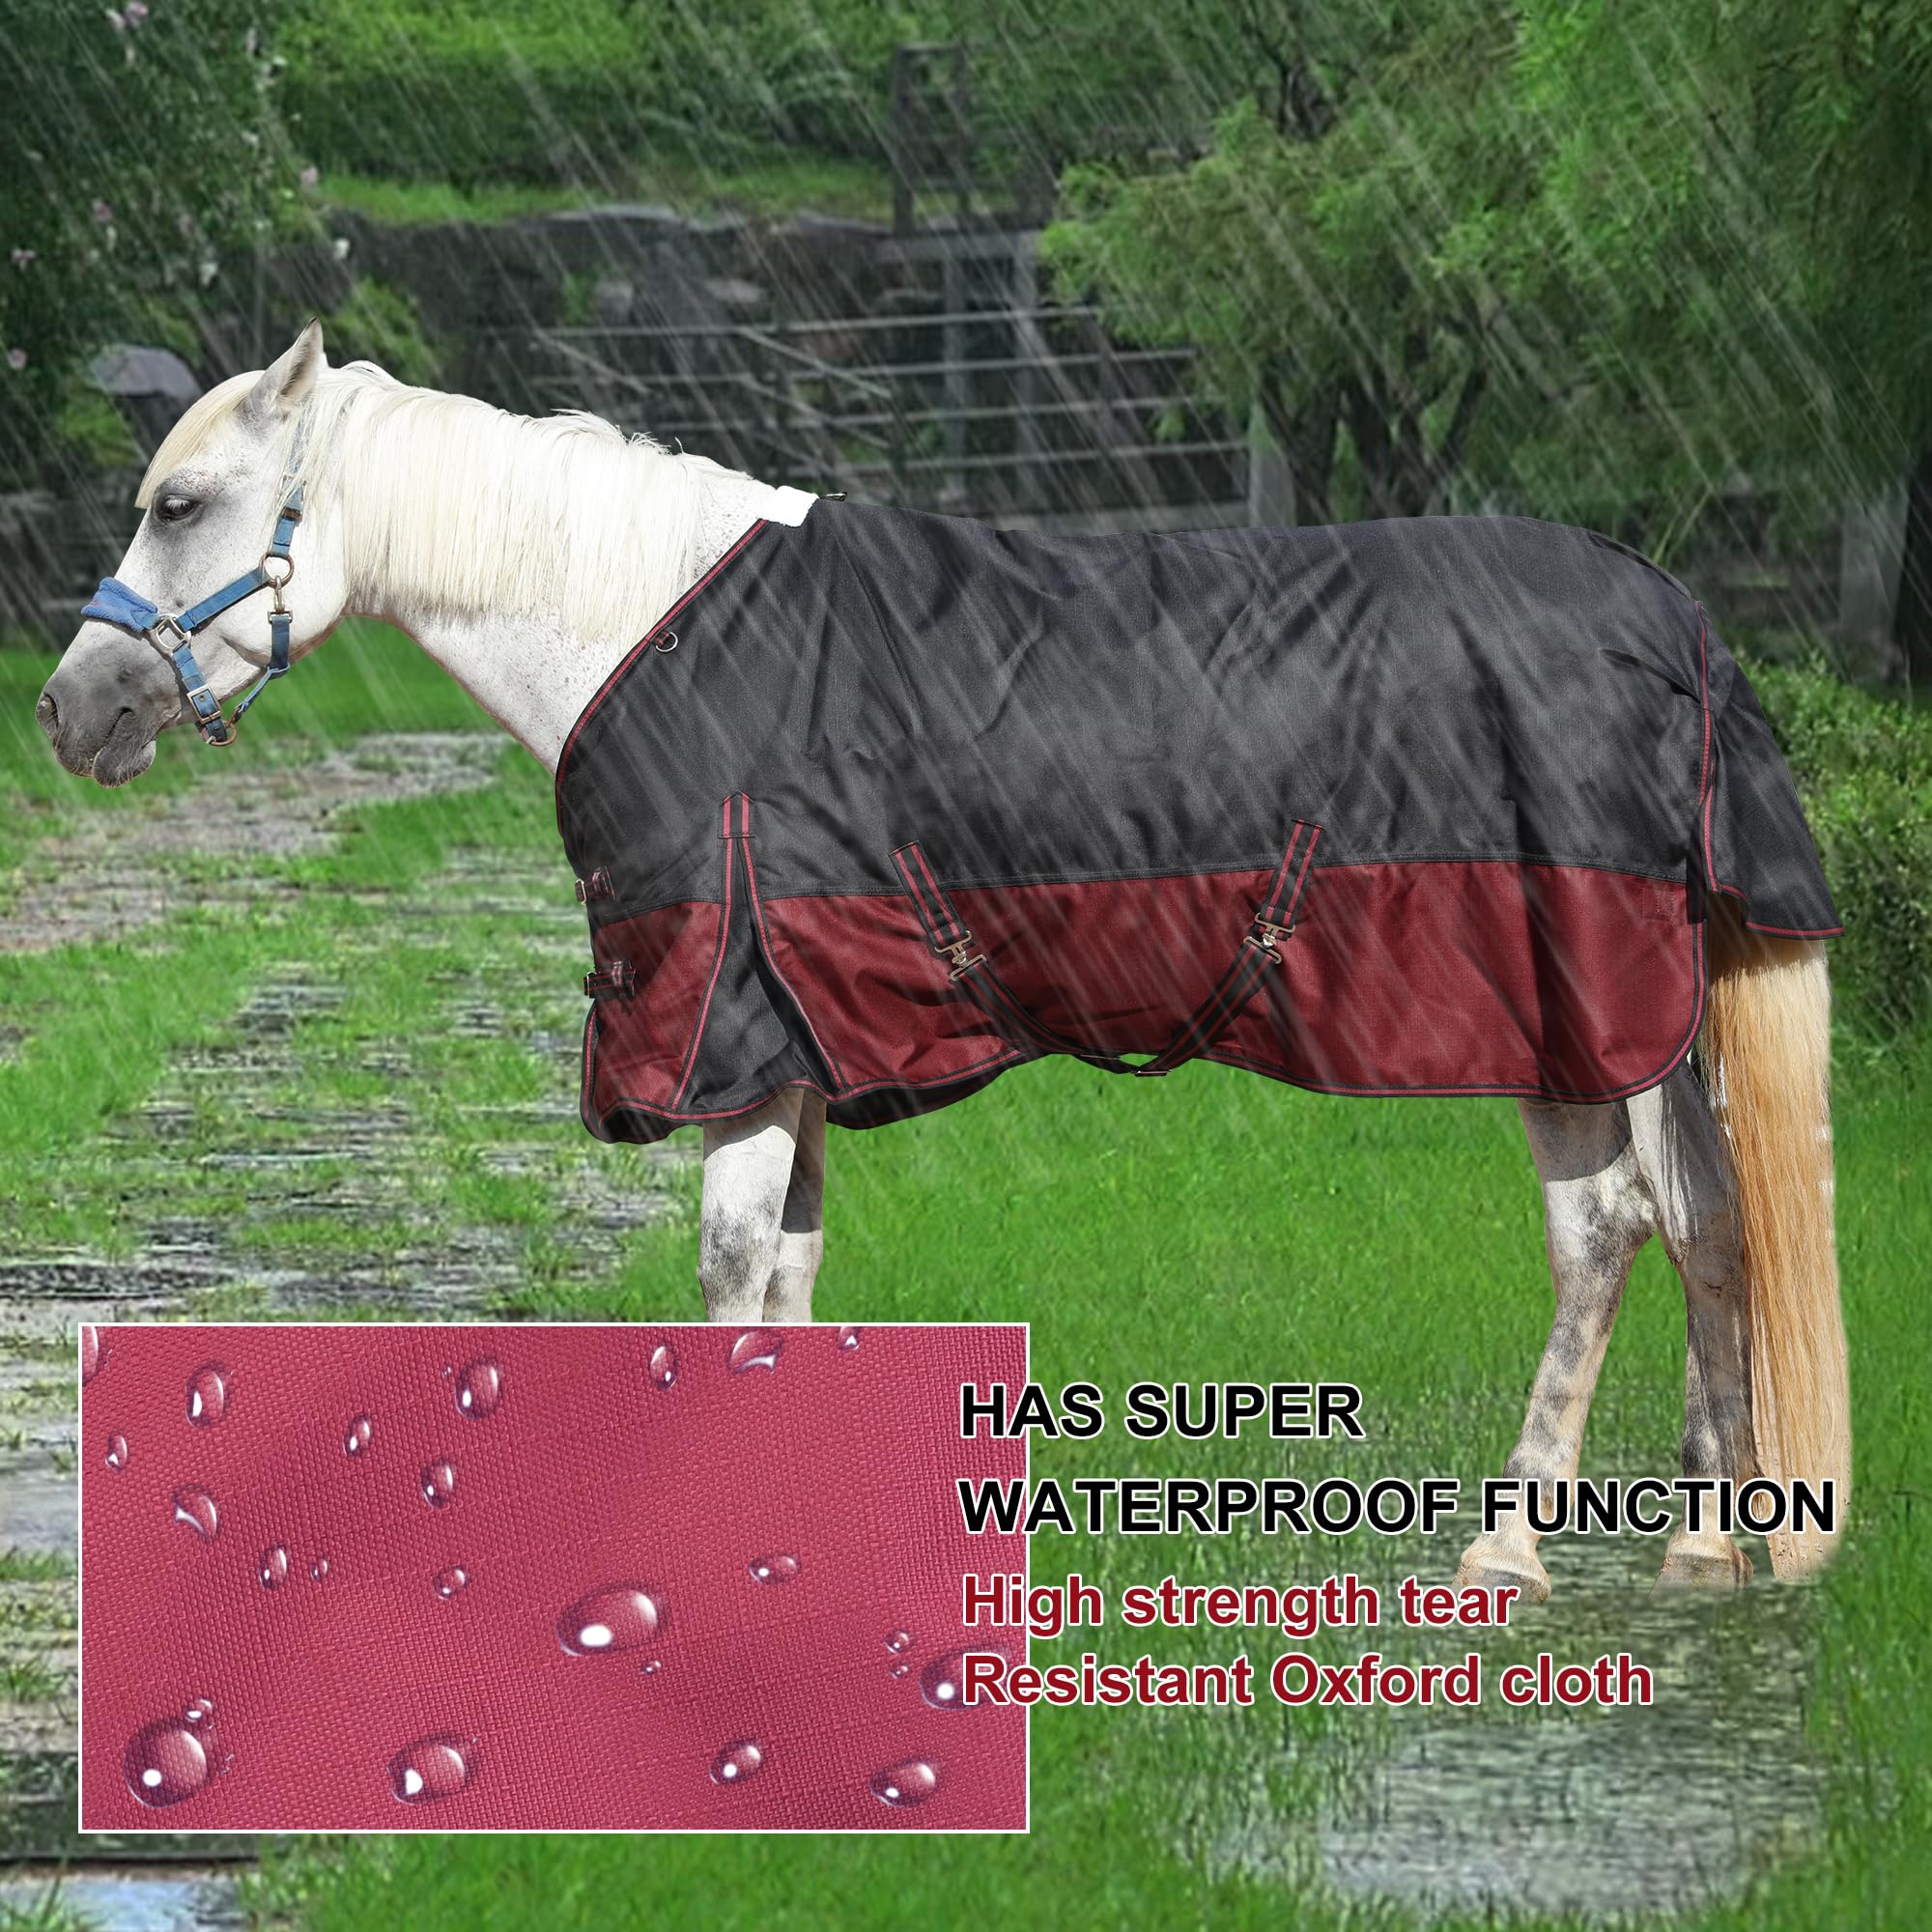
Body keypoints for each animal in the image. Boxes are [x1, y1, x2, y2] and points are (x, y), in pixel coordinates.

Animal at [38, 324, 1849, 1599]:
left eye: (179, 505)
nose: (67, 713)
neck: (643, 625)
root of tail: (1679, 625)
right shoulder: (801, 1055)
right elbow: (788, 1282)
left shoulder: (733, 1043)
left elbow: (727, 1278)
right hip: (1621, 1030)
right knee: (1690, 1225)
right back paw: (1691, 1541)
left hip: (1565, 1015)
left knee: (1616, 1233)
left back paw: (1523, 1544)